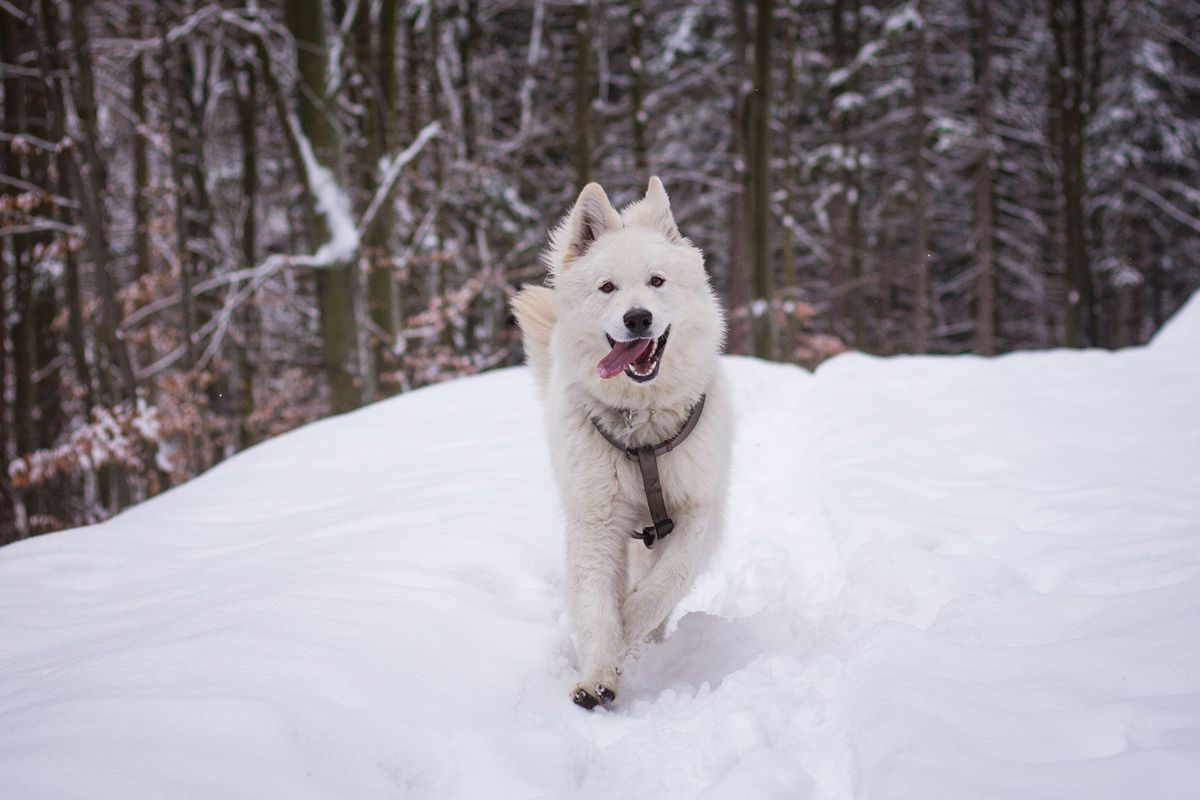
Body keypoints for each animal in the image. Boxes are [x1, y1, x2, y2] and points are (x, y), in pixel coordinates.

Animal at [508, 178, 729, 710]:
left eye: (657, 281)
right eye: (607, 287)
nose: (637, 318)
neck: (641, 424)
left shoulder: (695, 512)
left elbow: (663, 586)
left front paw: (630, 633)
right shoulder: (597, 520)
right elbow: (595, 603)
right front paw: (598, 671)